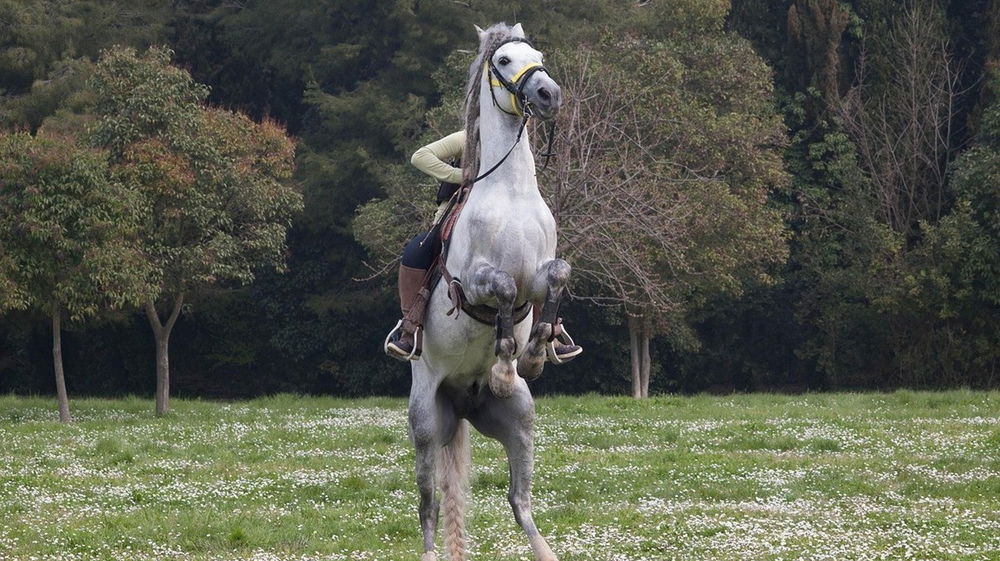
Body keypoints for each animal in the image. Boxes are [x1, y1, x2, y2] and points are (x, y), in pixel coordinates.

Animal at [408, 22, 568, 561]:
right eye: (502, 60)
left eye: (539, 55)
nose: (548, 94)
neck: (510, 191)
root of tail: (460, 400)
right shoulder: (473, 282)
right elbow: (499, 288)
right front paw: (503, 362)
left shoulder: (539, 272)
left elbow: (555, 276)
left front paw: (536, 350)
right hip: (426, 424)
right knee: (430, 504)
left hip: (518, 419)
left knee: (519, 499)